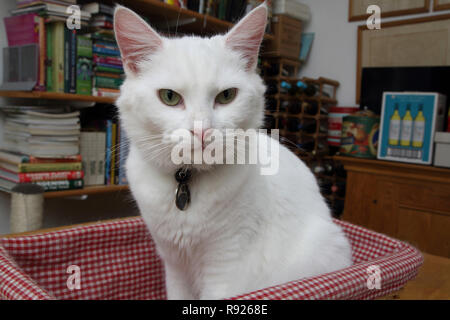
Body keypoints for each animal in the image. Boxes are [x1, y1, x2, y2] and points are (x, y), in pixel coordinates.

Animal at [112, 3, 352, 300]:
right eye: (169, 97)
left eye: (226, 96)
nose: (202, 130)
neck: (187, 180)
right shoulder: (175, 265)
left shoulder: (227, 265)